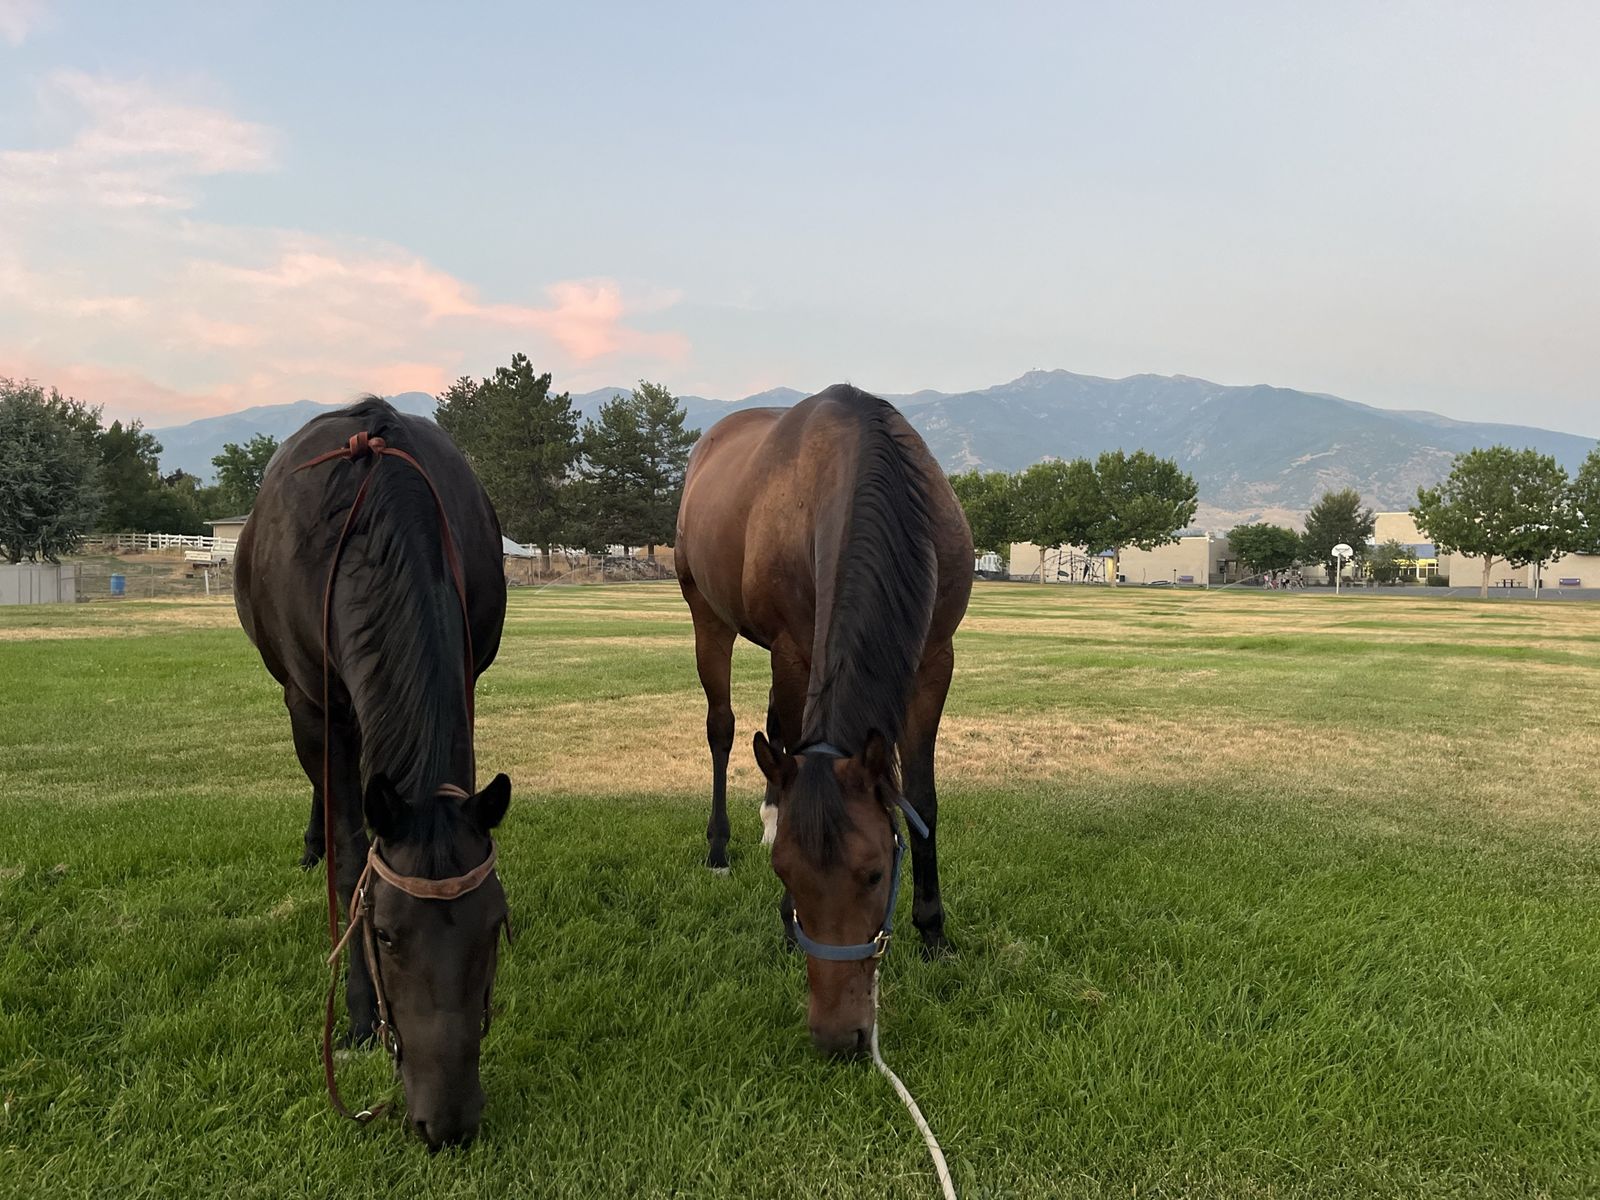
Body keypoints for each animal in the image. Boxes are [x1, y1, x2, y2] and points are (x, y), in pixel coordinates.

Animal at [234, 396, 512, 1149]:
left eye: (494, 926)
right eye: (383, 933)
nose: (447, 1123)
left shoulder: (467, 676)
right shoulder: (312, 707)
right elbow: (351, 856)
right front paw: (357, 1013)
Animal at [674, 384, 973, 1057]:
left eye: (875, 873)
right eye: (787, 874)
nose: (839, 1037)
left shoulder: (935, 659)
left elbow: (921, 798)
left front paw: (933, 930)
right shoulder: (792, 649)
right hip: (709, 617)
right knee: (726, 727)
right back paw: (719, 846)